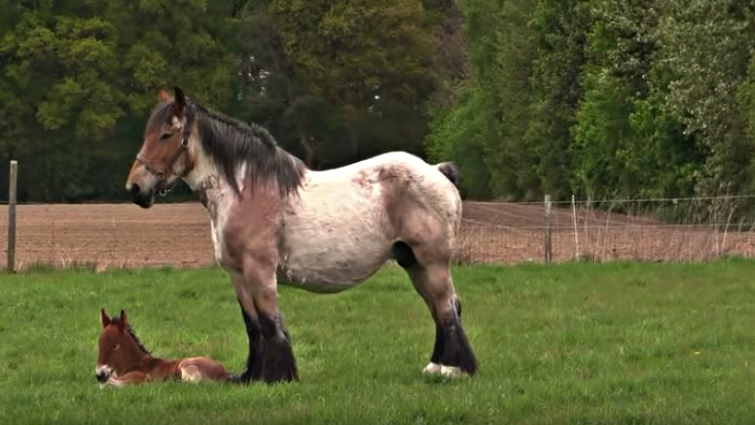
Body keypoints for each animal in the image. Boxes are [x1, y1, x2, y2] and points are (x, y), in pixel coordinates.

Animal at [95, 309, 232, 387]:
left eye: (115, 346)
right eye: (100, 343)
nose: (99, 374)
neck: (136, 364)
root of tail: (225, 373)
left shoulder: (138, 377)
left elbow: (109, 383)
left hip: (186, 364)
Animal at [124, 87, 478, 384]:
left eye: (166, 135)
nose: (135, 188)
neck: (246, 190)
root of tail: (438, 171)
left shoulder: (260, 272)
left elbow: (269, 322)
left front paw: (278, 377)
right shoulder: (238, 275)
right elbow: (253, 326)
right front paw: (251, 376)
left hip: (432, 263)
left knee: (447, 308)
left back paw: (454, 369)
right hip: (413, 262)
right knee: (439, 308)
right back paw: (436, 366)